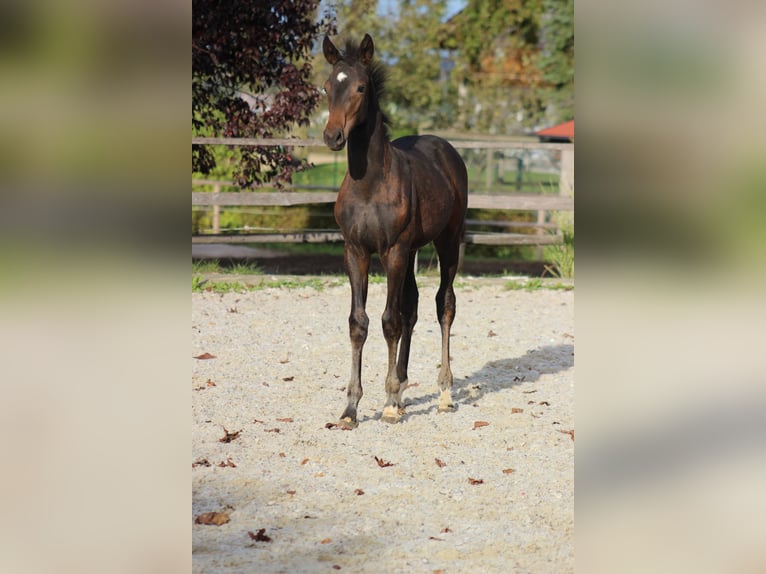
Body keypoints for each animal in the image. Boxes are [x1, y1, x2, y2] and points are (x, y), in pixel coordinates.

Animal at [322, 32, 468, 428]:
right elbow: (359, 322)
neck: (370, 183)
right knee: (412, 306)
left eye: (360, 87)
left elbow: (390, 321)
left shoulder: (394, 251)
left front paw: (387, 403)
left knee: (443, 304)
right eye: (326, 87)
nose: (332, 136)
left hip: (447, 241)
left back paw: (444, 393)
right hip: (413, 249)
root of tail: (446, 148)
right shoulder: (355, 251)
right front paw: (351, 408)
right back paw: (403, 390)